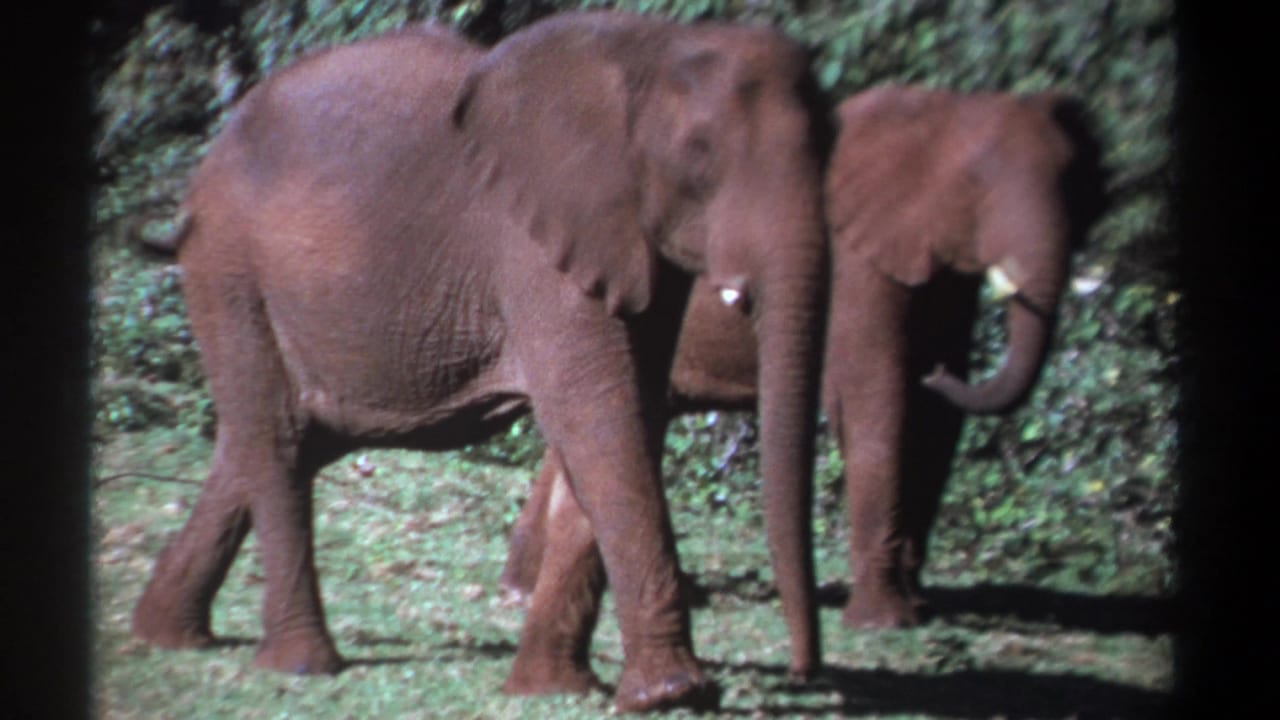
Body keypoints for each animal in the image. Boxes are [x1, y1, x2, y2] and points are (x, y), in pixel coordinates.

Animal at [128, 13, 831, 712]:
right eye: (700, 153)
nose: (805, 674)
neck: (647, 48)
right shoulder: (534, 247)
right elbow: (599, 416)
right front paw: (672, 694)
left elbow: (633, 414)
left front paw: (557, 690)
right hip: (229, 268)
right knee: (273, 438)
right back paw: (301, 665)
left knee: (280, 437)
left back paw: (166, 633)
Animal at [498, 85, 1107, 630]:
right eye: (976, 186)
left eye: (1077, 188)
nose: (936, 372)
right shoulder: (856, 267)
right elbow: (878, 402)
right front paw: (886, 623)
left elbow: (938, 424)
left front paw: (919, 607)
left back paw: (526, 590)